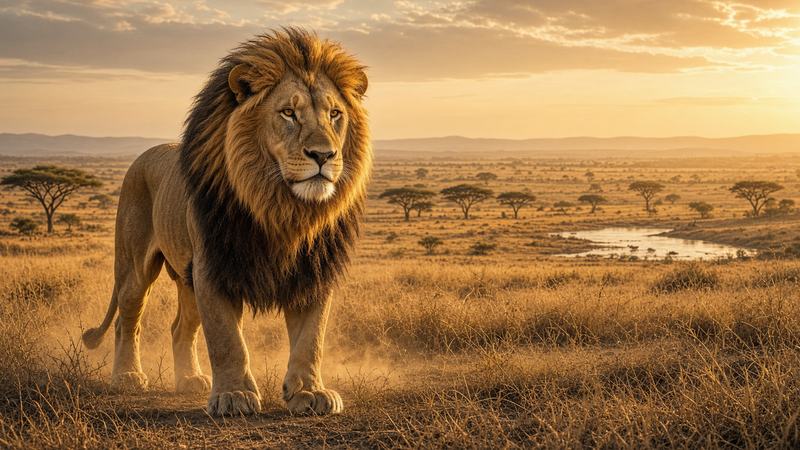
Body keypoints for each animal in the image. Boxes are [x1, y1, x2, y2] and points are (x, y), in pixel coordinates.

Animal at [81, 28, 371, 416]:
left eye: (335, 114)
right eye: (289, 113)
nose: (324, 155)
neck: (282, 209)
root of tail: (145, 155)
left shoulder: (313, 271)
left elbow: (312, 338)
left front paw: (310, 392)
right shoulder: (213, 267)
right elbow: (226, 339)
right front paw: (234, 396)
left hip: (186, 279)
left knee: (180, 328)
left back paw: (189, 380)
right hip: (135, 266)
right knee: (127, 319)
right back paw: (127, 376)